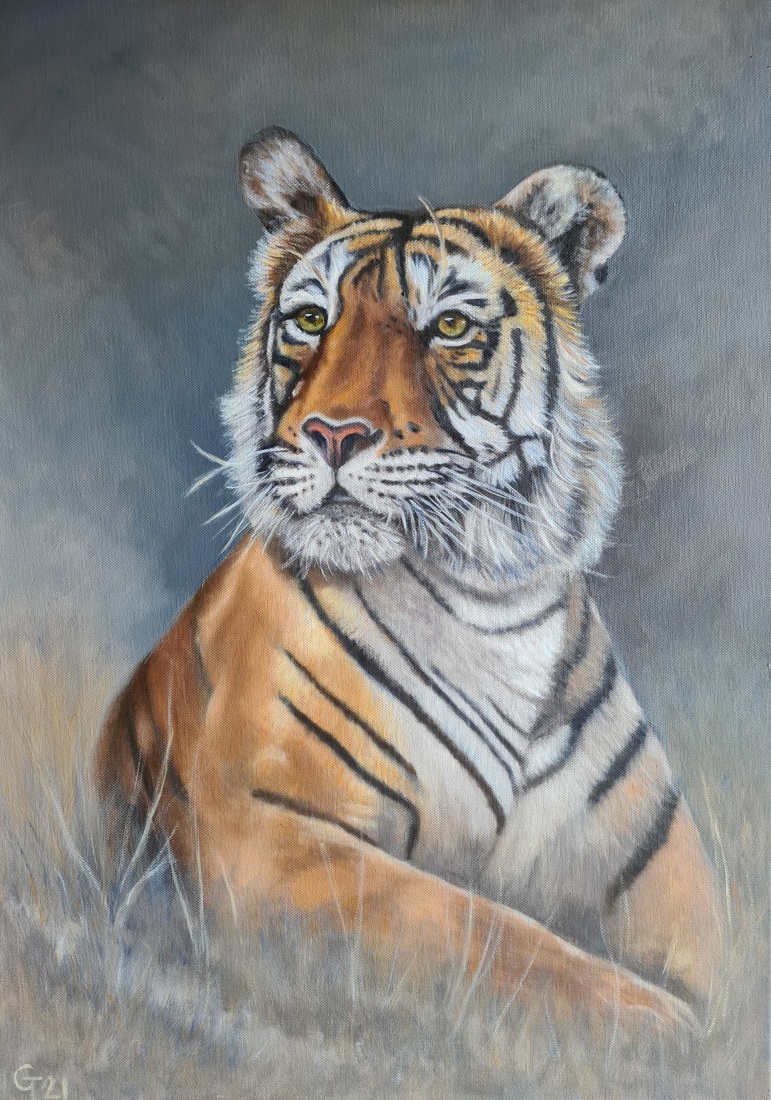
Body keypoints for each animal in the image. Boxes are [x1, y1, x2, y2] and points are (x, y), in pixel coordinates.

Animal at [96, 127, 723, 1035]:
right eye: (311, 319)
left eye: (449, 325)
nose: (330, 434)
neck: (490, 602)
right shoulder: (267, 835)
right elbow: (490, 934)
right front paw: (665, 1028)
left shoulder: (655, 873)